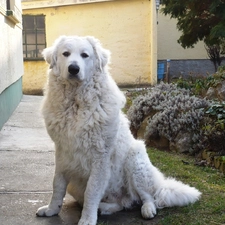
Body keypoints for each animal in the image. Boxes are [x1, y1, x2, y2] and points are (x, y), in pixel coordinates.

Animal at [36, 35, 201, 225]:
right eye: (66, 54)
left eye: (85, 55)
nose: (73, 68)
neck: (75, 101)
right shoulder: (63, 152)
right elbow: (57, 185)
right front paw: (51, 210)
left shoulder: (100, 157)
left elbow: (92, 191)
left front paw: (87, 219)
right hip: (82, 187)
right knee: (121, 204)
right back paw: (104, 208)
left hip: (135, 163)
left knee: (146, 196)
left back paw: (147, 209)